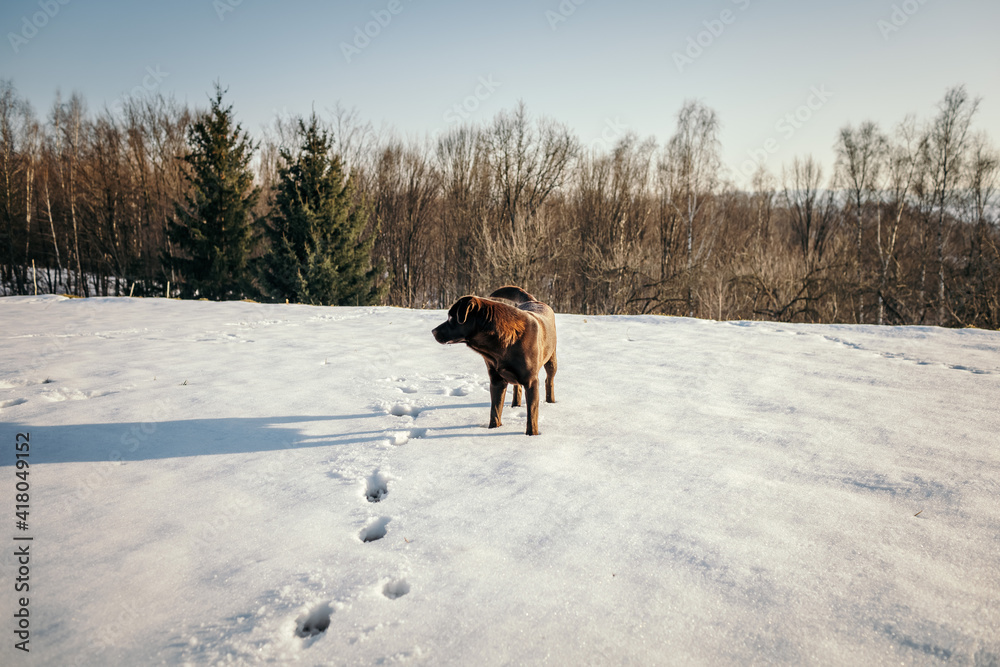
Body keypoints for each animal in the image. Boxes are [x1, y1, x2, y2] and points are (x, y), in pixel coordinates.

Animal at [432, 286, 556, 434]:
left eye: (451, 317)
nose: (433, 331)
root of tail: (534, 301)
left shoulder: (531, 381)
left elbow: (532, 414)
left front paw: (531, 435)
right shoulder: (496, 380)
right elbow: (495, 411)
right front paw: (493, 429)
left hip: (551, 360)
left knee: (549, 380)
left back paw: (550, 401)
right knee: (517, 386)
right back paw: (515, 405)